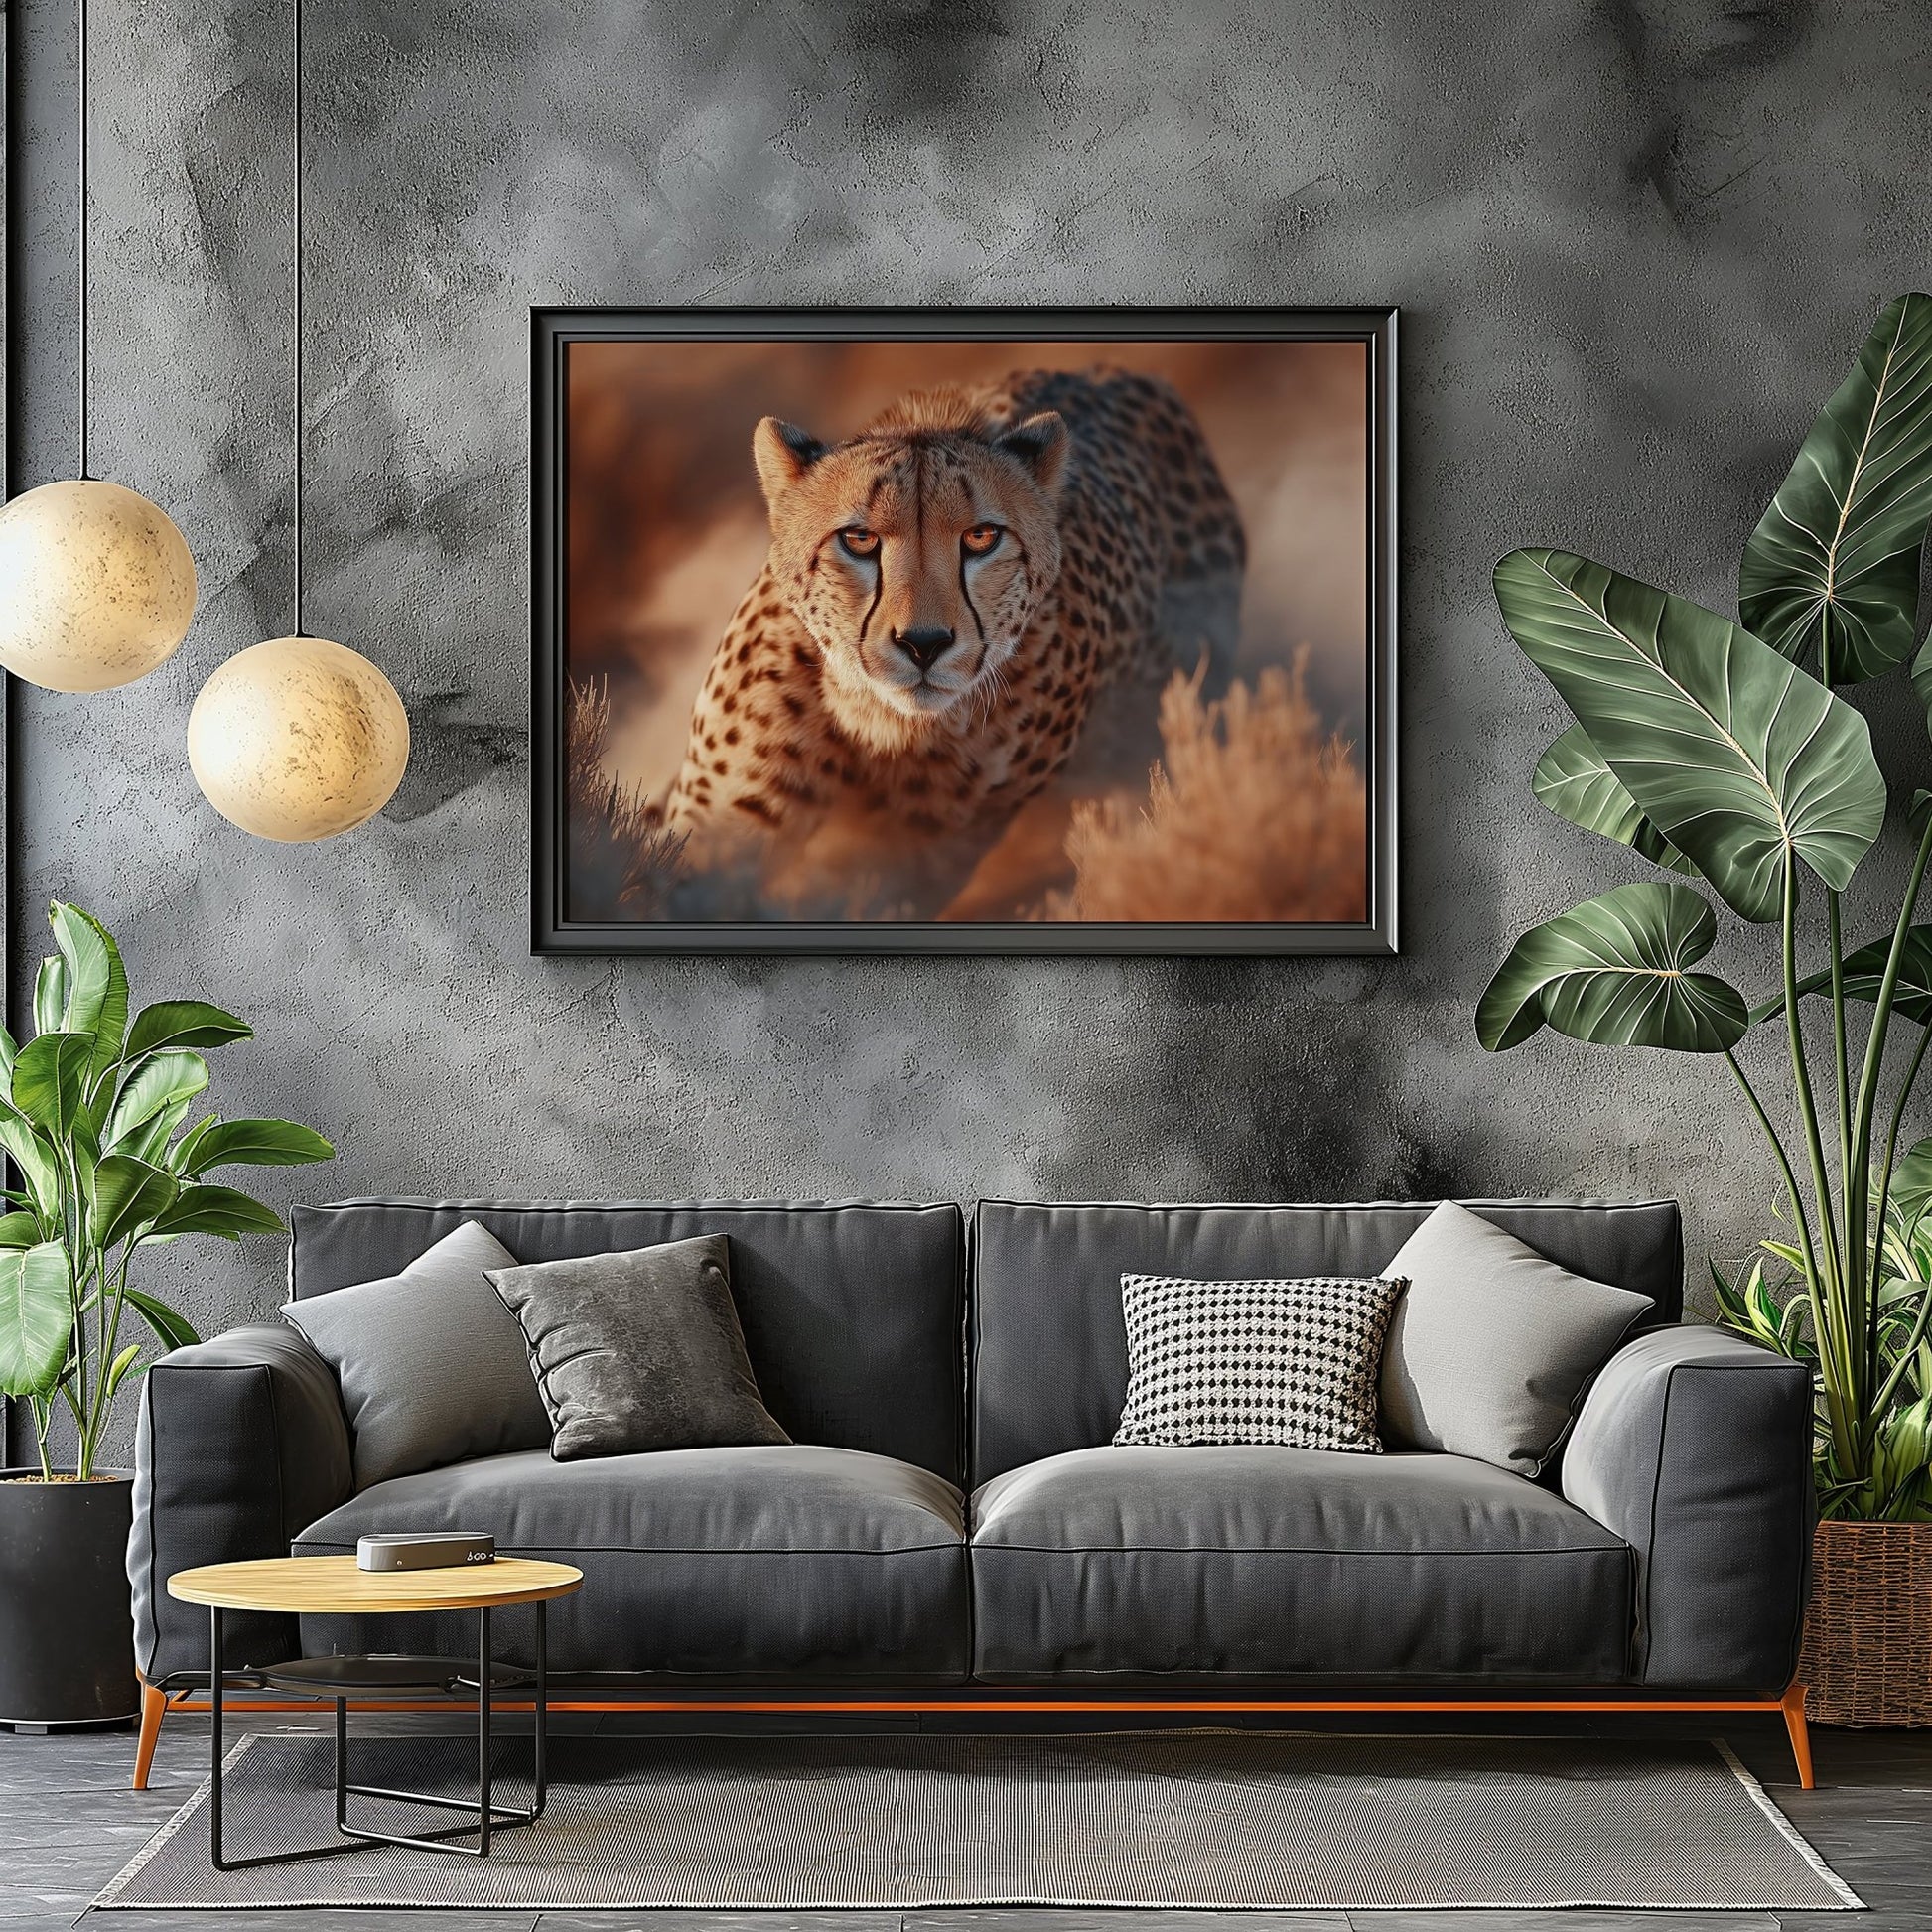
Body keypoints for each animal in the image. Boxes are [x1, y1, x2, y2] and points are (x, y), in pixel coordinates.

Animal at [662, 365, 1246, 919]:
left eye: (981, 537)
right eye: (859, 539)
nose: (924, 645)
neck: (883, 724)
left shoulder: (926, 851)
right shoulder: (726, 823)